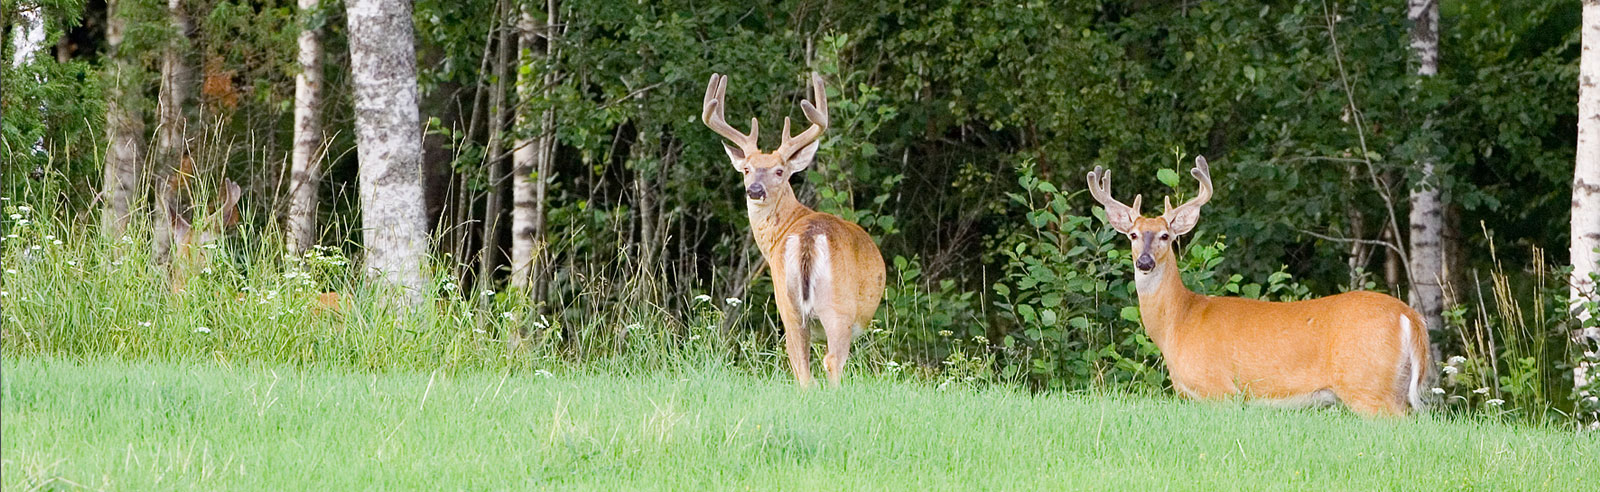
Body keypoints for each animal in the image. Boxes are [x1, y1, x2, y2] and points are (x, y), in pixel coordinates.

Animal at [702, 72, 886, 387]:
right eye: (747, 169)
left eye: (779, 171)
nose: (754, 190)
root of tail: (808, 238)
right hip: (838, 307)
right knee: (832, 361)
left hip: (788, 306)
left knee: (801, 366)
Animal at [1085, 156, 1431, 416]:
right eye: (1132, 235)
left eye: (1165, 236)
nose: (1144, 262)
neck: (1178, 323)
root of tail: (1410, 317)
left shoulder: (1220, 389)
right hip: (1392, 385)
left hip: (1367, 383)